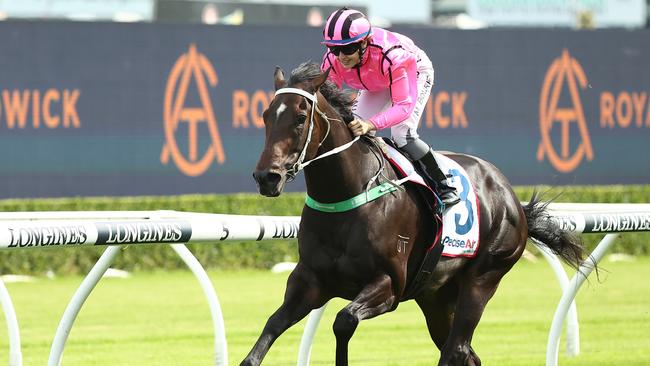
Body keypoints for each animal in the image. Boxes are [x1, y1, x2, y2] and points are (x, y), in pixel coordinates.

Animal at [246, 61, 580, 364]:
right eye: (265, 116)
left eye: (301, 118)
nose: (267, 177)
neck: (346, 196)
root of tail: (511, 196)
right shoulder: (309, 282)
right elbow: (270, 328)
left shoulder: (389, 285)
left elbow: (344, 320)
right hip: (436, 296)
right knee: (465, 353)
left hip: (484, 277)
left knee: (456, 348)